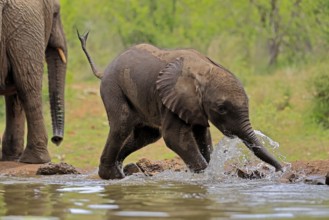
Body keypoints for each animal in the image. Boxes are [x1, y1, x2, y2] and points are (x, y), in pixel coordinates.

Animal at [0, 0, 66, 162]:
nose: (57, 139)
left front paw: (11, 158)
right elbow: (25, 84)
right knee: (28, 88)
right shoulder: (26, 29)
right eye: (56, 13)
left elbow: (14, 90)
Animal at [77, 31, 282, 180]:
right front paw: (205, 175)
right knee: (122, 125)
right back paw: (112, 176)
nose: (280, 170)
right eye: (222, 109)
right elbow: (175, 137)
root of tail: (104, 71)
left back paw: (121, 170)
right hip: (113, 88)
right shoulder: (170, 98)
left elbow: (202, 135)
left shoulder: (193, 106)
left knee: (147, 135)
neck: (202, 71)